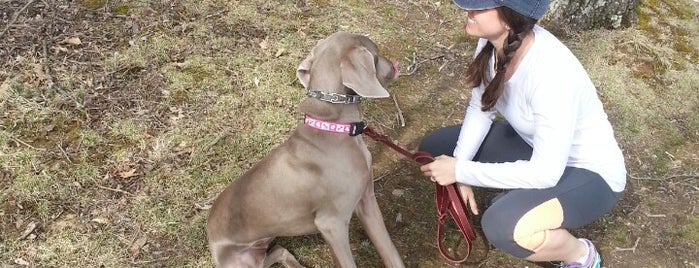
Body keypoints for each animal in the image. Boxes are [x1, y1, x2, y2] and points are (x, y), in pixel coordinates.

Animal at [205, 31, 404, 268]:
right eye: (377, 52)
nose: (394, 64)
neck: (334, 127)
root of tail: (209, 234)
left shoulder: (367, 201)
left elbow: (392, 254)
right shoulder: (331, 224)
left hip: (260, 249)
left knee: (279, 250)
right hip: (244, 260)